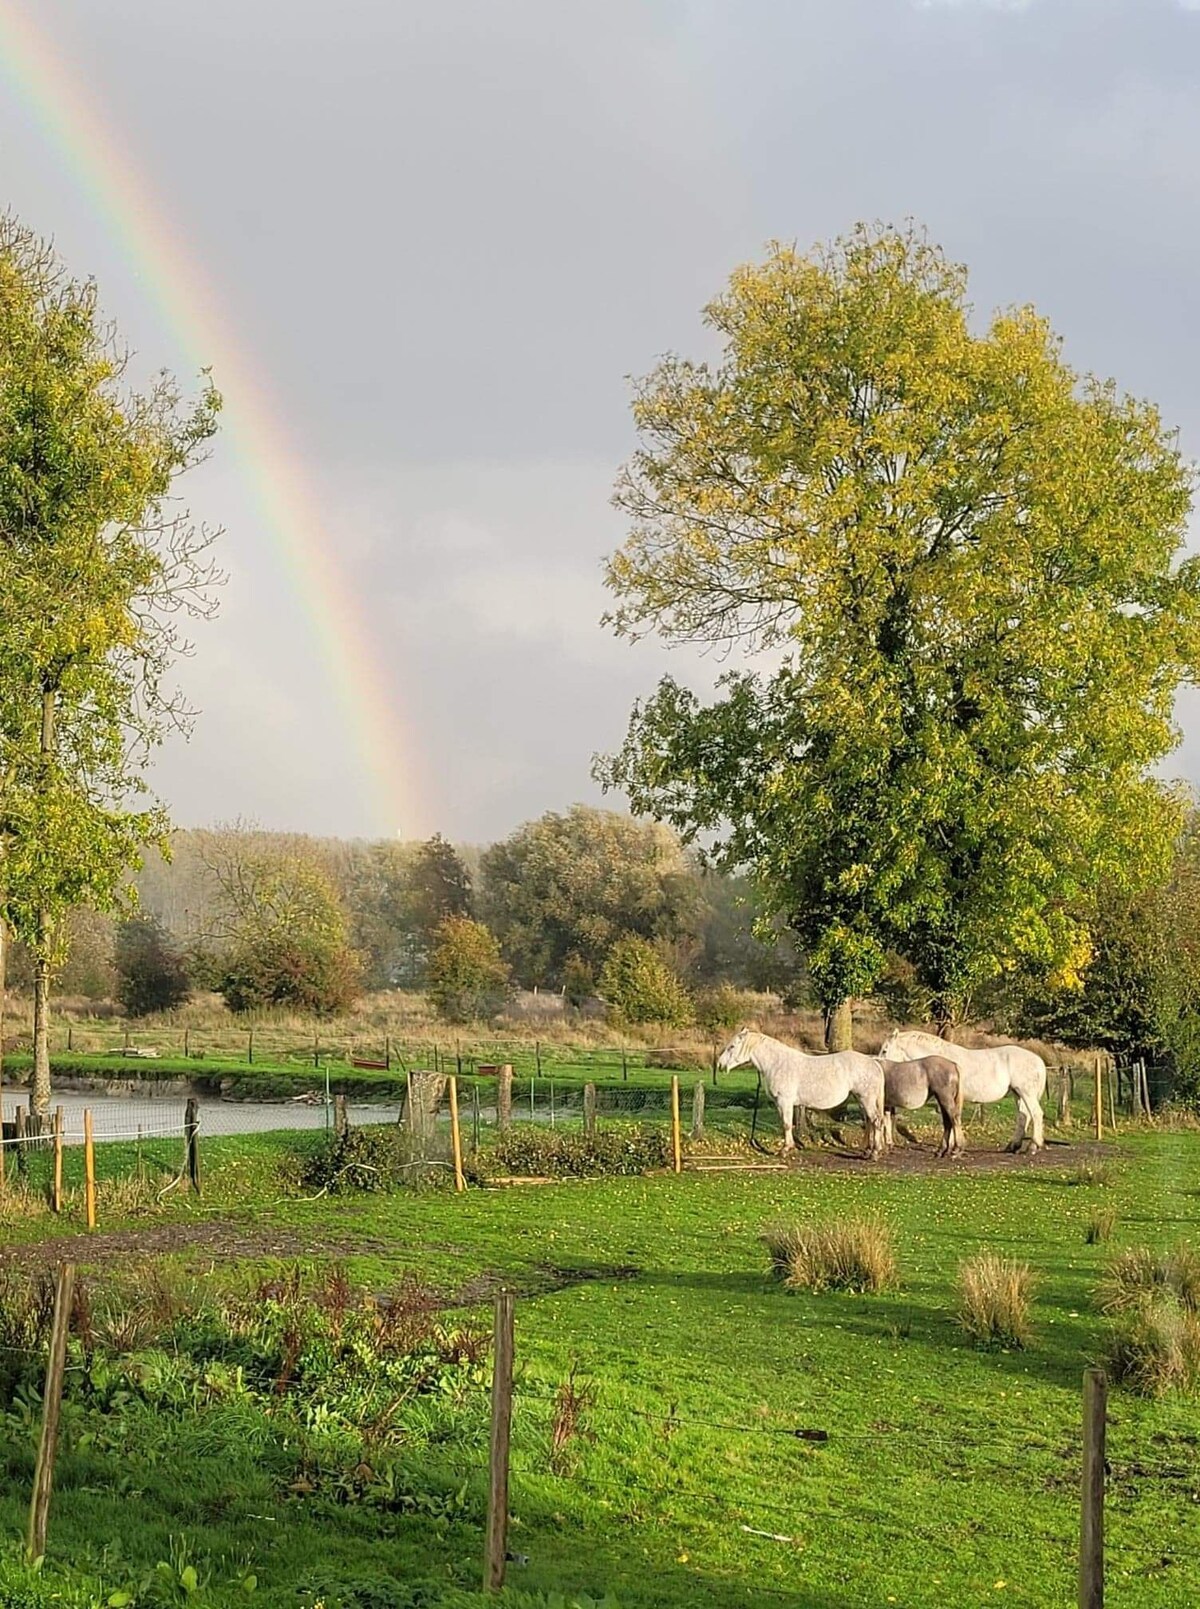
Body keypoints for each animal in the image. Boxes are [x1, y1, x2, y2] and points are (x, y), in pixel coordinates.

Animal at [875, 1029, 1042, 1158]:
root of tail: (1038, 1060)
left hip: (1026, 1093)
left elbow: (951, 1119)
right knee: (1023, 1116)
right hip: (1018, 1094)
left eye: (885, 1050)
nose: (878, 1064)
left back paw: (1033, 1147)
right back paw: (1013, 1146)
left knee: (1036, 1114)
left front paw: (951, 1148)